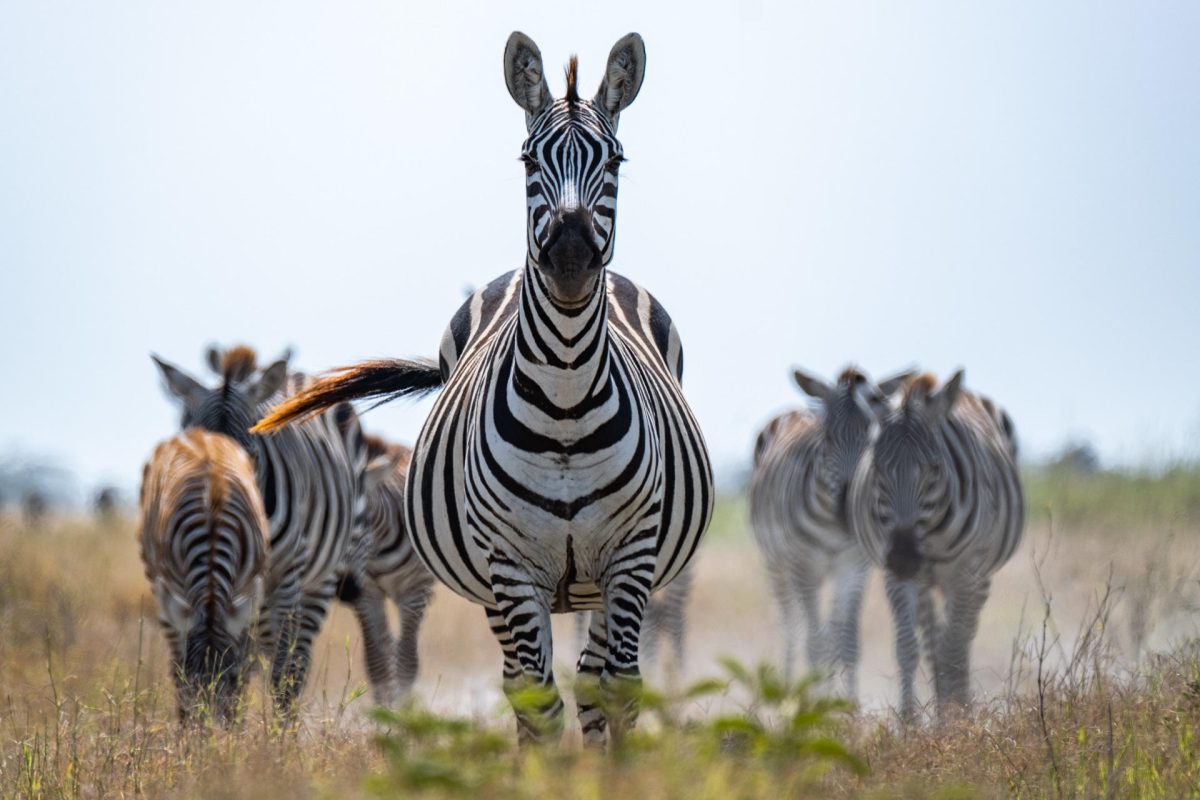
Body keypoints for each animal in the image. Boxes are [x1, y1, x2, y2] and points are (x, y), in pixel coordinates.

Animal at [138, 428, 269, 721]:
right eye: (191, 681)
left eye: (230, 678)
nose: (211, 731)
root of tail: (200, 434)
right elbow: (177, 667)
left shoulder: (246, 594)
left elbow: (244, 660)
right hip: (160, 587)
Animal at [152, 345, 379, 710]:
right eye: (193, 452)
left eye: (250, 456)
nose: (212, 508)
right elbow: (226, 661)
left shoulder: (286, 575)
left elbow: (280, 670)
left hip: (321, 578)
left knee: (295, 663)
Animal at [335, 434, 436, 706]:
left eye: (360, 521)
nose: (343, 590)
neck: (378, 549)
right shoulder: (368, 594)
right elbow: (376, 663)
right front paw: (383, 711)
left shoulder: (415, 590)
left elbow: (408, 663)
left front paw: (403, 710)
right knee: (386, 643)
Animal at [750, 366, 913, 697]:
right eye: (827, 437)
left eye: (872, 438)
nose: (848, 511)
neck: (832, 527)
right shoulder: (804, 566)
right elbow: (814, 644)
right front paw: (811, 705)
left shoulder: (855, 567)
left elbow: (846, 643)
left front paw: (848, 705)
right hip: (777, 564)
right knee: (792, 627)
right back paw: (786, 688)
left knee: (830, 633)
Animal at [848, 370, 1023, 719]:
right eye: (876, 468)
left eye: (934, 467)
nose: (904, 557)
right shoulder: (895, 574)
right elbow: (907, 648)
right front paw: (909, 722)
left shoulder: (965, 571)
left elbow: (953, 651)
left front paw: (958, 720)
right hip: (927, 581)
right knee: (933, 644)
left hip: (978, 576)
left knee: (961, 640)